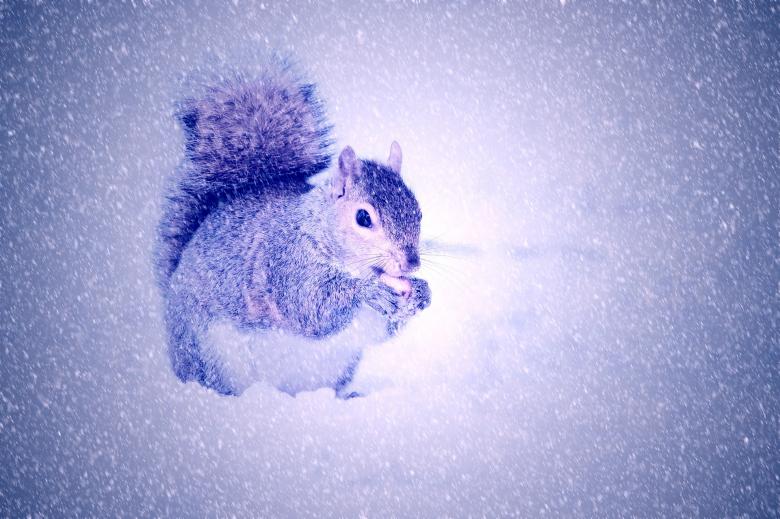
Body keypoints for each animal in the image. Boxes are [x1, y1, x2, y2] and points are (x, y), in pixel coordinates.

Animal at [155, 62, 431, 397]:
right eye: (363, 218)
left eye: (418, 211)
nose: (411, 263)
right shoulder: (285, 261)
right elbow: (310, 306)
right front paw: (367, 292)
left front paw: (422, 293)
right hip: (211, 356)